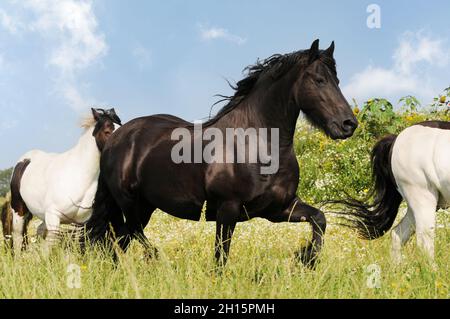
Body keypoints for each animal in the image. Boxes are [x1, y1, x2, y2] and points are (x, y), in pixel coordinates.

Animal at [2, 109, 121, 254]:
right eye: (107, 131)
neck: (78, 175)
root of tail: (25, 160)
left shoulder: (80, 223)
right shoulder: (53, 216)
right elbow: (50, 245)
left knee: (39, 230)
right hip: (19, 209)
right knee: (18, 236)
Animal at [86, 40, 356, 268]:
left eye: (337, 80)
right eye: (319, 79)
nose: (349, 124)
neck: (259, 147)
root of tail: (116, 138)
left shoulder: (278, 209)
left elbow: (319, 218)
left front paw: (306, 258)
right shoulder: (228, 209)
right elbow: (221, 257)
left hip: (145, 206)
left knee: (120, 241)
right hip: (130, 203)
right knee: (127, 235)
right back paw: (155, 259)